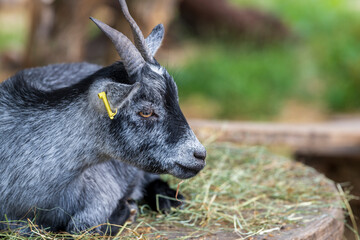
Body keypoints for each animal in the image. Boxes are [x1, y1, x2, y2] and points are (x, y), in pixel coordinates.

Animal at [0, 0, 205, 235]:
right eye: (146, 111)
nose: (200, 155)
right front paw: (126, 211)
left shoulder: (102, 187)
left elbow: (83, 224)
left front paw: (126, 210)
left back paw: (169, 199)